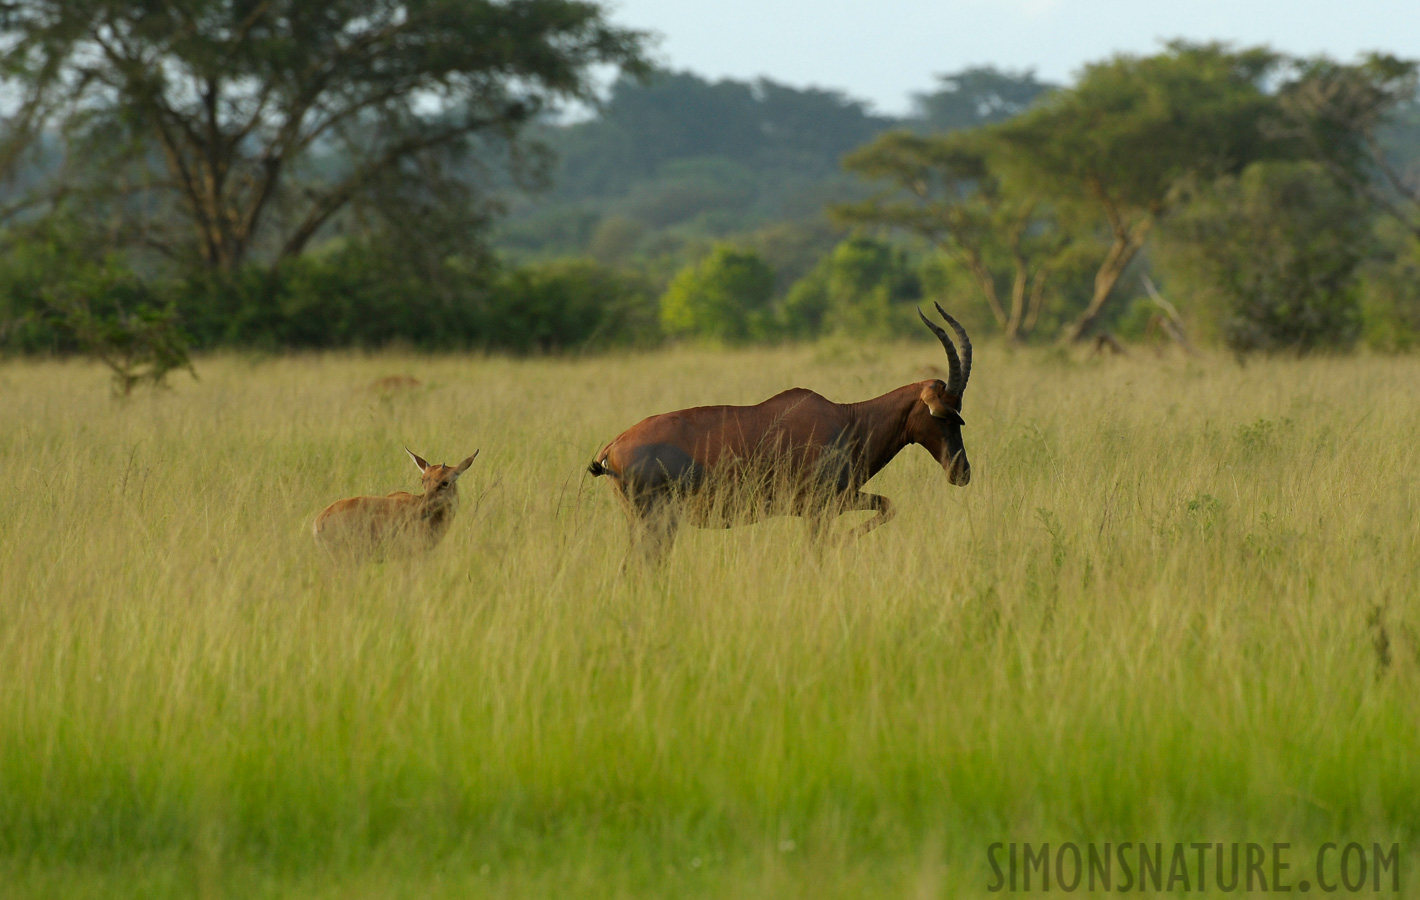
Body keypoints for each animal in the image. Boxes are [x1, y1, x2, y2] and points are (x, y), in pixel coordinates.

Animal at [587, 300, 976, 556]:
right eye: (945, 414)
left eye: (959, 410)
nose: (962, 472)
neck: (850, 420)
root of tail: (612, 447)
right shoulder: (818, 510)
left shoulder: (836, 503)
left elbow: (888, 506)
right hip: (656, 522)